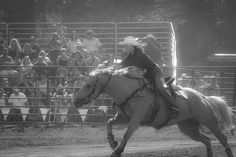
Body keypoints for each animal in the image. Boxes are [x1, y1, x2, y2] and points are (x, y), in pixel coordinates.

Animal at [73, 66, 234, 157]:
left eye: (88, 85)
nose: (75, 101)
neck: (128, 90)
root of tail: (203, 97)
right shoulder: (123, 116)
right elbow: (109, 122)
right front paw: (112, 142)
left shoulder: (136, 118)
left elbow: (127, 134)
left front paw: (117, 150)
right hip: (189, 128)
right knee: (207, 141)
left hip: (209, 121)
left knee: (223, 139)